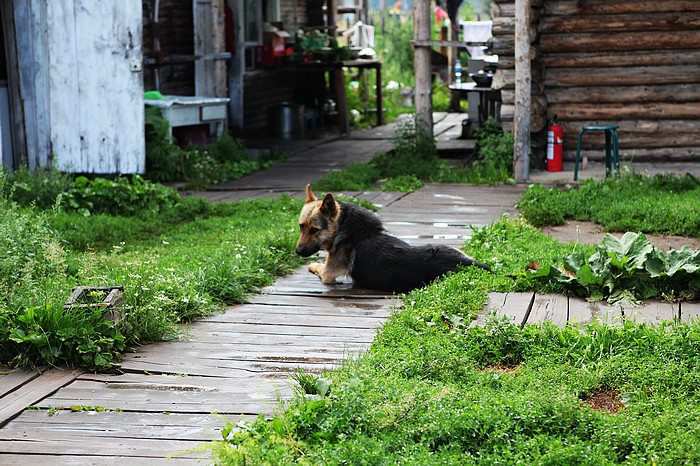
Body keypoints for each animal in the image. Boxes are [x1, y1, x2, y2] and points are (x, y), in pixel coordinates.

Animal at [296, 184, 492, 294]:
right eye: (301, 226)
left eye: (314, 230)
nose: (297, 251)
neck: (347, 229)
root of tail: (465, 262)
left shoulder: (327, 273)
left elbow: (318, 266)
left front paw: (312, 265)